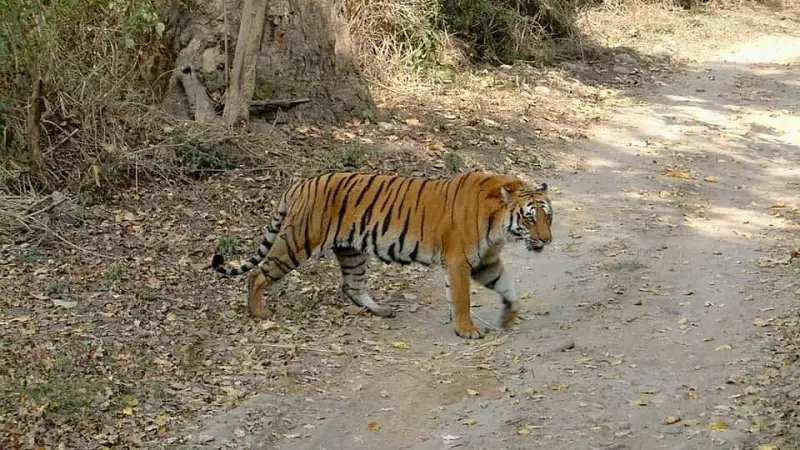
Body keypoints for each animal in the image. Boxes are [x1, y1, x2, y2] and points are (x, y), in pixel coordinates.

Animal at [210, 171, 553, 339]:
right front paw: (467, 330)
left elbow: (507, 287)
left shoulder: (486, 262)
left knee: (351, 286)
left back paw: (382, 310)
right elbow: (462, 298)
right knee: (258, 274)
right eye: (529, 218)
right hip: (297, 242)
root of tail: (301, 184)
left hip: (351, 251)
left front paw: (508, 317)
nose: (547, 241)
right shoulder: (460, 261)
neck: (500, 226)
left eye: (547, 217)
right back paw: (258, 313)